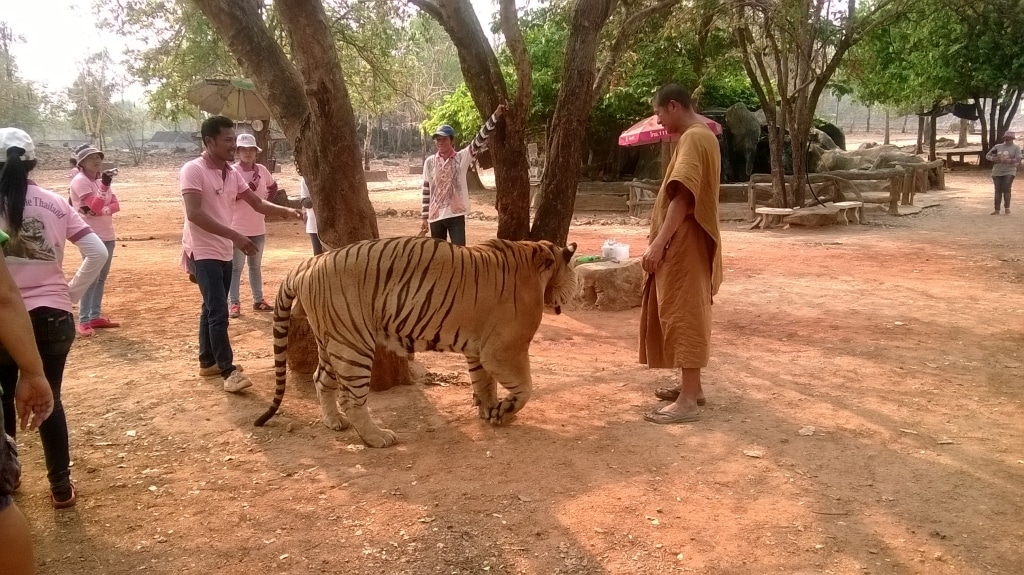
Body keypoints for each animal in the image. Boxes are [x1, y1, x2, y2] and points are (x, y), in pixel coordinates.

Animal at [254, 235, 577, 446]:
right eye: (573, 272)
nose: (572, 293)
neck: (537, 257)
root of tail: (307, 264)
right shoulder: (503, 350)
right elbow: (525, 388)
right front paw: (504, 411)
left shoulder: (479, 349)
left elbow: (484, 383)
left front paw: (490, 411)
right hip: (353, 344)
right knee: (351, 398)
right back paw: (377, 437)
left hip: (330, 340)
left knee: (321, 379)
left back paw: (333, 422)